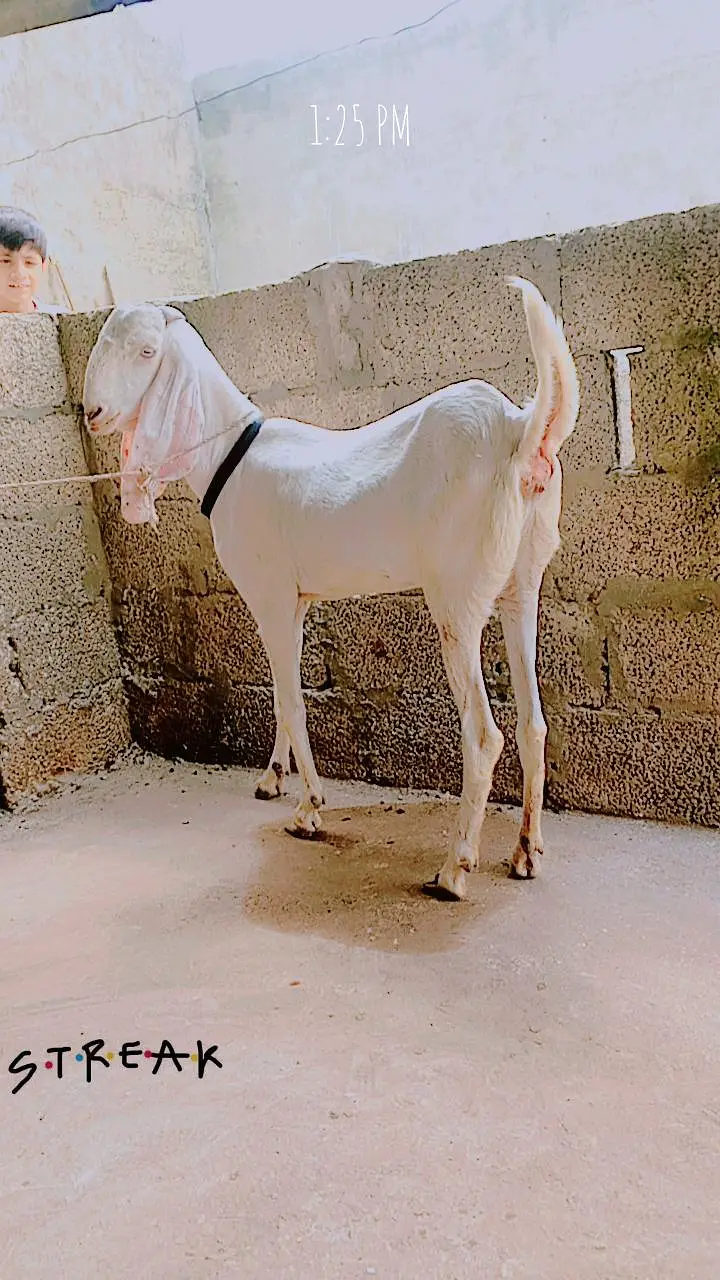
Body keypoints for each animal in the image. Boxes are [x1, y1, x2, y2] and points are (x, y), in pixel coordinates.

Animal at [82, 277, 579, 900]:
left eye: (147, 352)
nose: (92, 412)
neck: (230, 455)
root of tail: (519, 431)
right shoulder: (294, 601)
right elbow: (280, 690)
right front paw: (273, 777)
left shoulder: (269, 595)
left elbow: (292, 700)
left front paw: (309, 808)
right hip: (522, 582)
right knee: (533, 722)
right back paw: (526, 850)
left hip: (458, 597)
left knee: (484, 736)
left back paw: (454, 869)